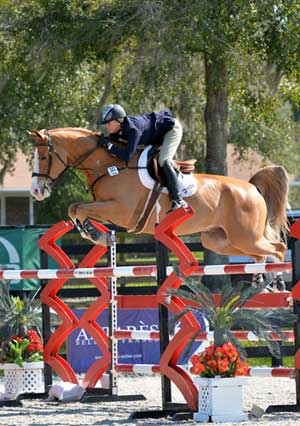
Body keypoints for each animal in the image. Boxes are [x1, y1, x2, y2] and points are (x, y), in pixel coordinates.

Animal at [28, 126, 288, 262]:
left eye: (44, 156)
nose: (36, 191)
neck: (109, 165)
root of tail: (251, 188)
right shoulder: (106, 208)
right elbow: (74, 208)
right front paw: (93, 233)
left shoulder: (121, 211)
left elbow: (80, 208)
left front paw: (94, 234)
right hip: (219, 240)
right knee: (259, 255)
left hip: (246, 236)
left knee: (278, 249)